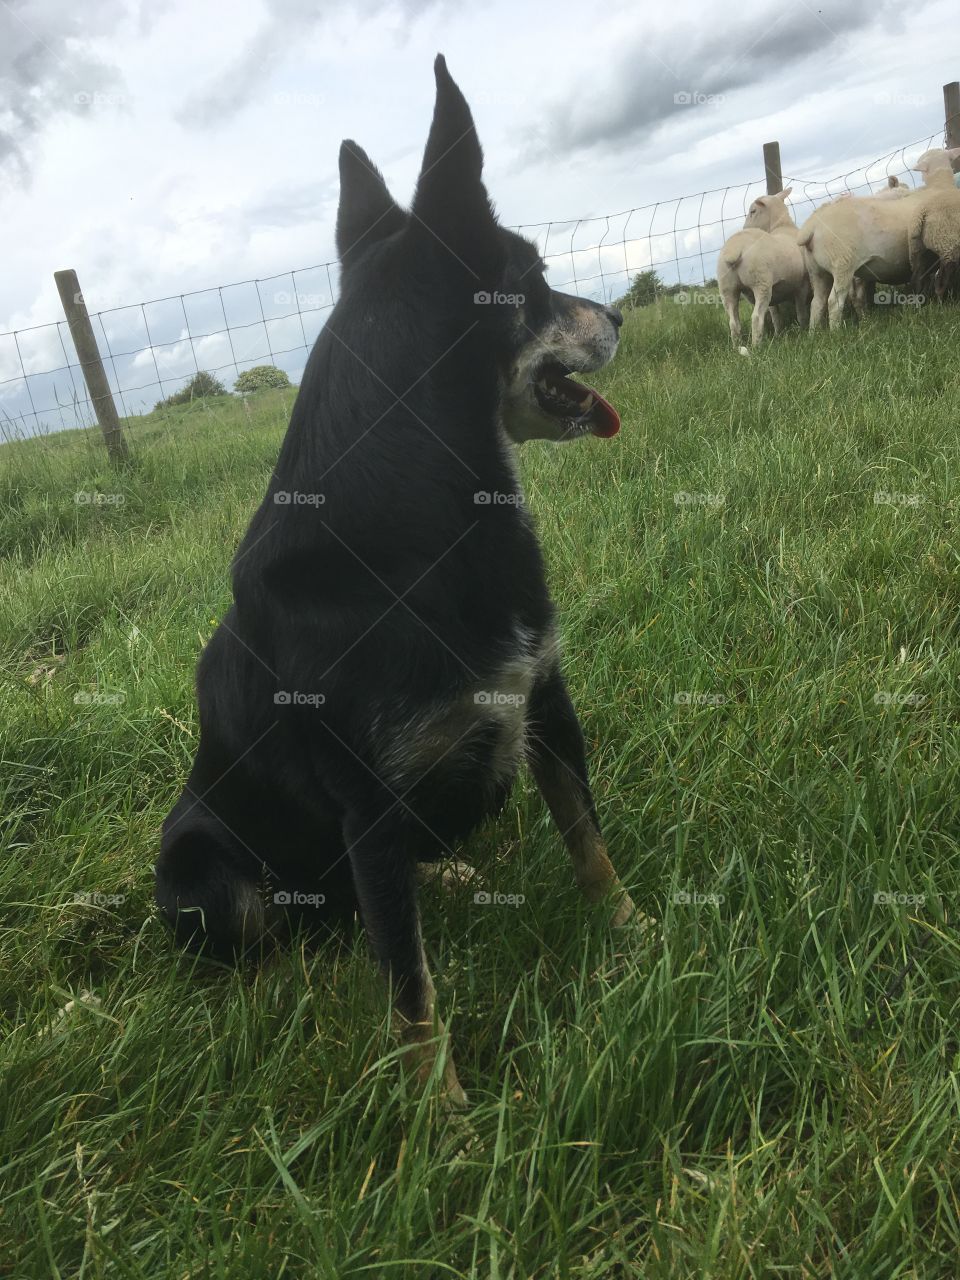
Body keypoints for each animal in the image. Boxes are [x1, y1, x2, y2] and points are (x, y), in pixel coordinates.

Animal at [717, 187, 811, 348]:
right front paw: (803, 330)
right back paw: (757, 347)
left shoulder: (776, 290)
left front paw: (779, 334)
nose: (745, 227)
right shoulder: (800, 286)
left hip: (728, 288)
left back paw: (737, 347)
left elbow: (776, 317)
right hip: (760, 283)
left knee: (733, 322)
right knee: (756, 317)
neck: (781, 227)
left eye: (753, 211)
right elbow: (801, 313)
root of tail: (734, 248)